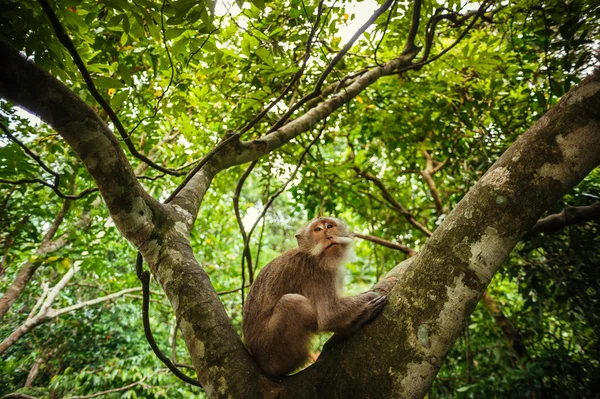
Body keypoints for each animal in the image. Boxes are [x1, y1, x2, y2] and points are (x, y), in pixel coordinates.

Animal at [241, 217, 386, 376]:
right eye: (317, 230)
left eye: (329, 226)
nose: (328, 236)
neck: (313, 256)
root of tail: (257, 359)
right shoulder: (318, 273)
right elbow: (330, 314)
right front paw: (369, 297)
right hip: (270, 349)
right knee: (292, 302)